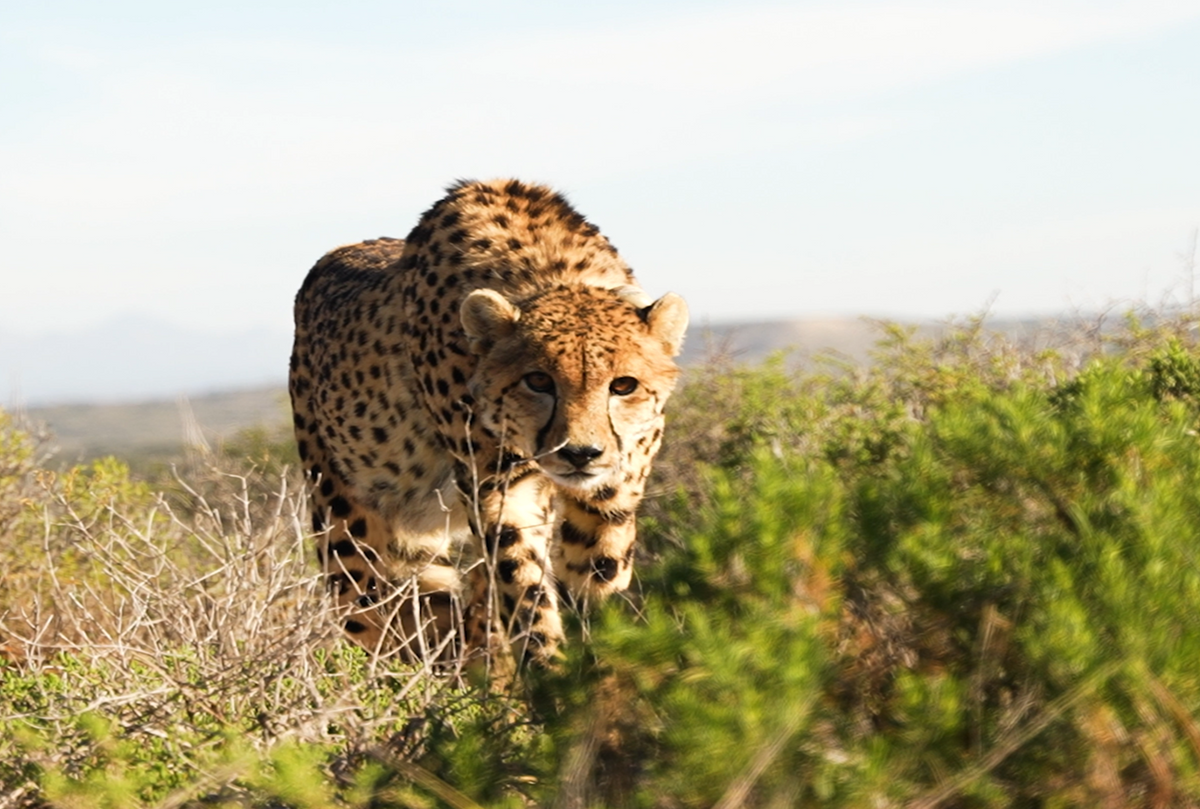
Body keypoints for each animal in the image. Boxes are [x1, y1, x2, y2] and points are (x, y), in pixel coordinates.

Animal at [289, 179, 688, 667]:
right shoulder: (497, 489)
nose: (579, 453)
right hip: (347, 541)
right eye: (538, 380)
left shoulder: (610, 486)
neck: (550, 272)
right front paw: (550, 671)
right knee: (386, 624)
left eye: (623, 385)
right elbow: (525, 588)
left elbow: (600, 560)